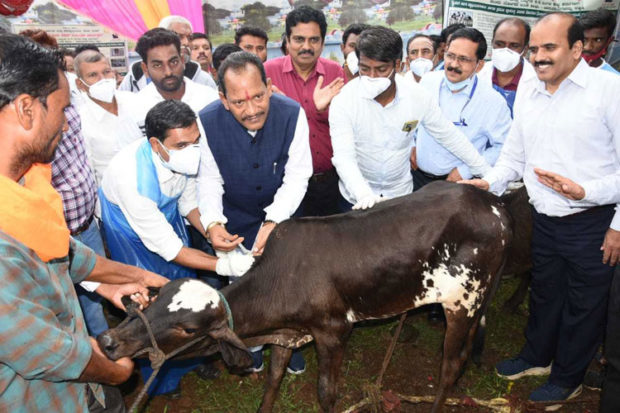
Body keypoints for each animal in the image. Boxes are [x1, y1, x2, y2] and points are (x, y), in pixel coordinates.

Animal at [98, 182, 512, 410]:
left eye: (186, 329)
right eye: (156, 299)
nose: (109, 340)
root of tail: (493, 204)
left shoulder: (333, 333)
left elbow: (327, 393)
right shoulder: (286, 337)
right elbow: (272, 381)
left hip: (464, 301)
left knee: (450, 366)